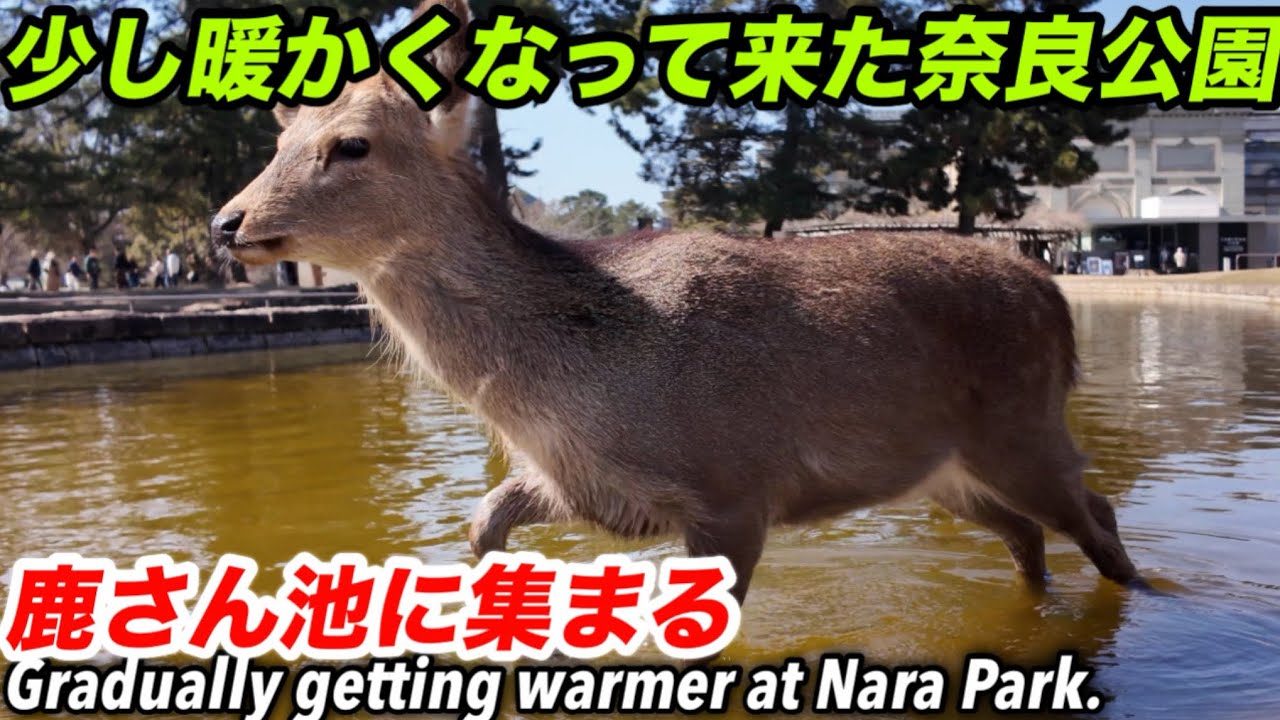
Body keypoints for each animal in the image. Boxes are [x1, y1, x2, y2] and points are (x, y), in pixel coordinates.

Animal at [211, 0, 1147, 620]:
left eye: (351, 145)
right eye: (280, 141)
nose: (228, 223)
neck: (578, 391)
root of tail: (1055, 297)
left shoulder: (734, 489)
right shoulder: (588, 488)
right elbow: (483, 520)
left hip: (1023, 427)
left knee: (1098, 519)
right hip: (940, 471)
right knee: (1027, 535)